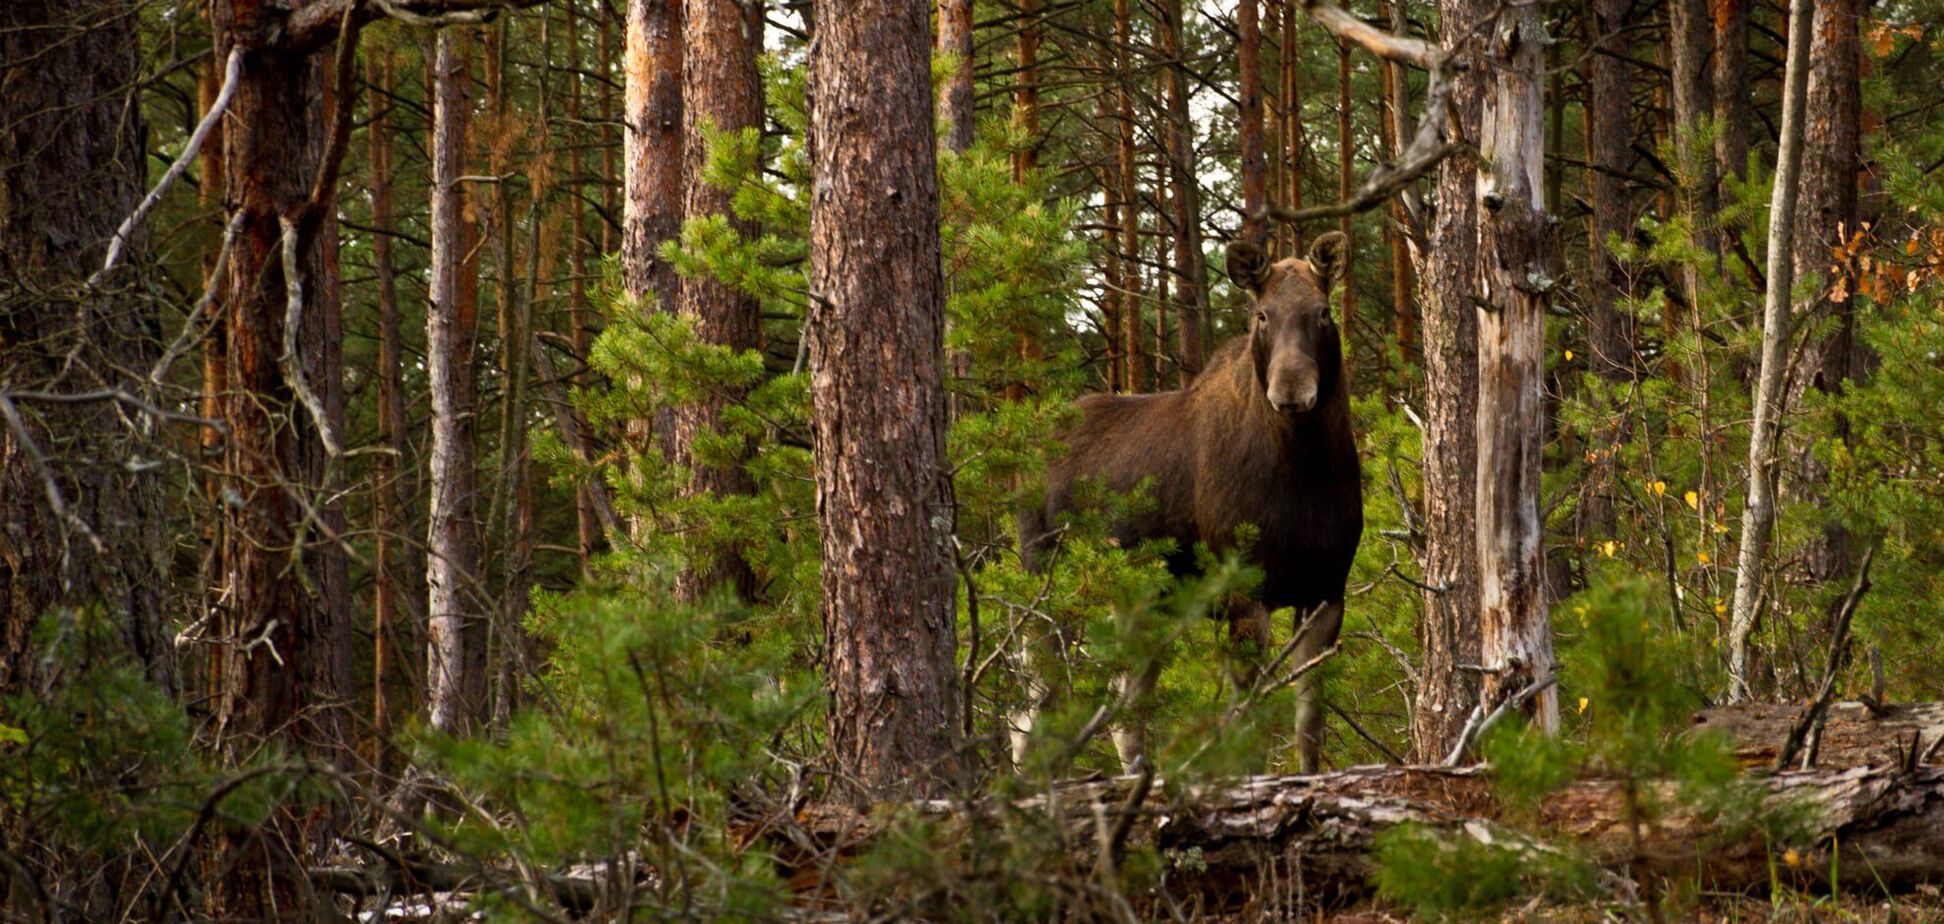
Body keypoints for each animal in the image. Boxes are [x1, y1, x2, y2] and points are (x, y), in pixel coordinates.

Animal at [1018, 231, 1368, 774]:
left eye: (1324, 312)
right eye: (1261, 315)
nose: (1291, 389)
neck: (1306, 475)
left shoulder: (1327, 590)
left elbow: (1309, 725)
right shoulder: (1244, 592)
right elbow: (1249, 726)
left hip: (1136, 604)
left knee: (1121, 710)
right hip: (1048, 584)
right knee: (1034, 711)